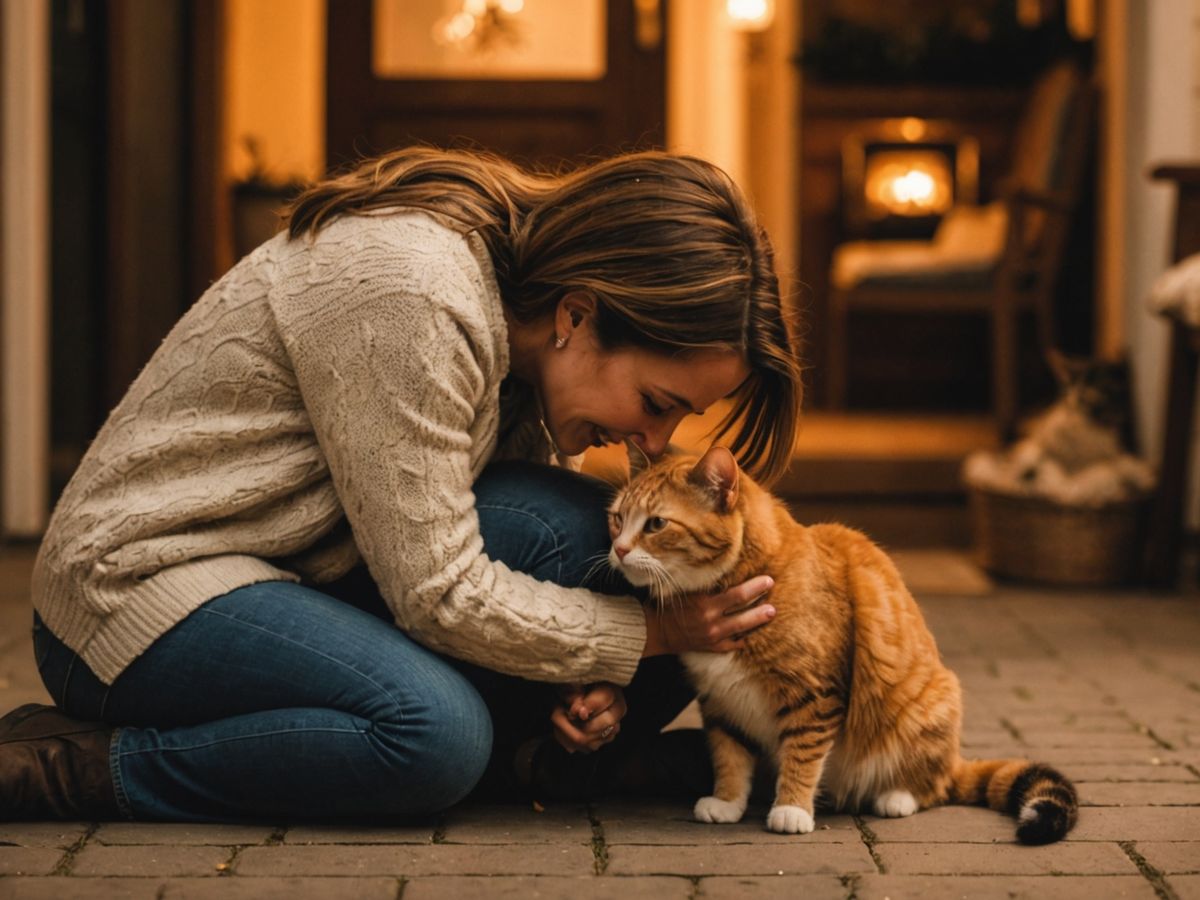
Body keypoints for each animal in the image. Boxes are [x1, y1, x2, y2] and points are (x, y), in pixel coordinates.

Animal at [609, 448, 1080, 849]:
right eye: (617, 518)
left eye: (656, 524)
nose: (618, 548)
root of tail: (954, 760)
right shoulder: (721, 699)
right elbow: (729, 755)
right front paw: (726, 801)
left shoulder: (813, 693)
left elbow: (802, 753)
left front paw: (792, 808)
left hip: (929, 705)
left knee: (935, 785)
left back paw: (896, 797)